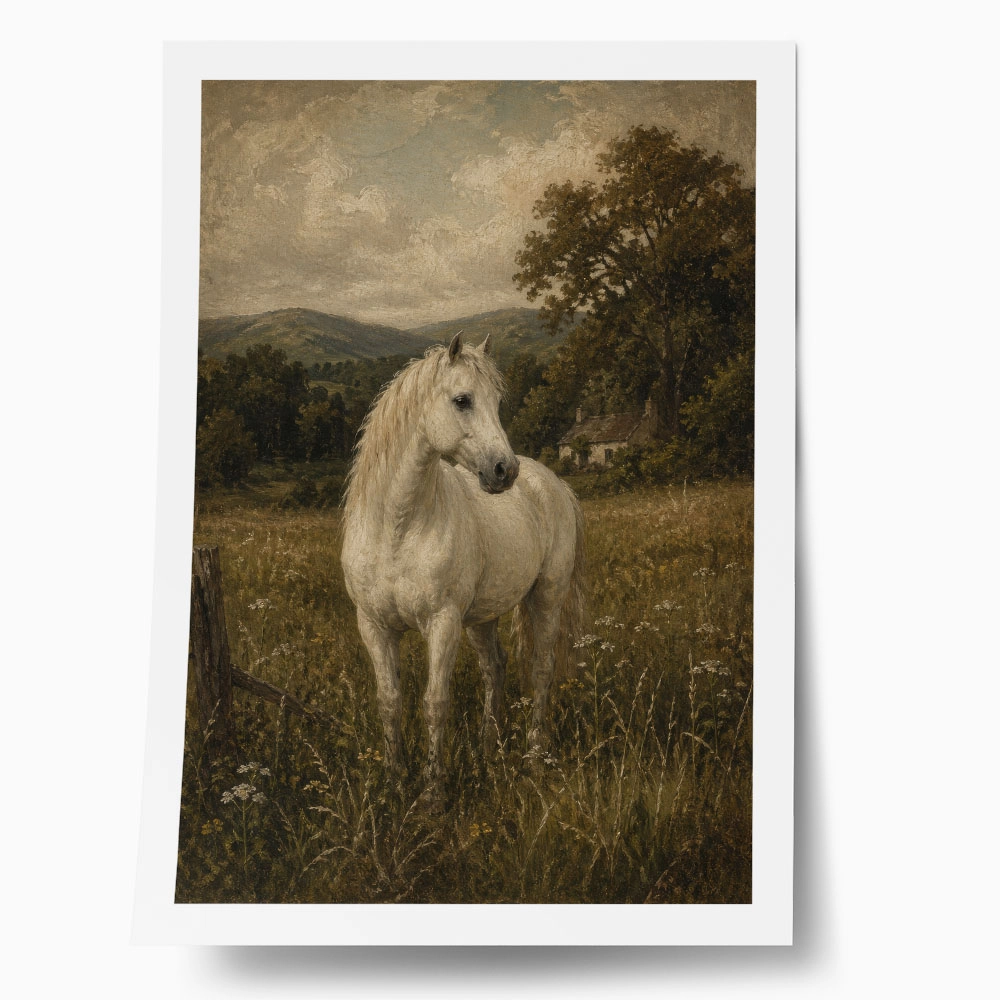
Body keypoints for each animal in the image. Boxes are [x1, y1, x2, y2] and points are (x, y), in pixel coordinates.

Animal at [341, 331, 585, 798]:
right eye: (462, 400)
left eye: (498, 400)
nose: (504, 470)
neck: (397, 528)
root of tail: (553, 484)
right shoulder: (373, 626)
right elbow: (389, 701)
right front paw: (395, 780)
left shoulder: (443, 622)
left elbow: (435, 702)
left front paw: (433, 791)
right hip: (483, 617)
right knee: (496, 668)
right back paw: (490, 747)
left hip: (546, 596)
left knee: (541, 669)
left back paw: (533, 755)